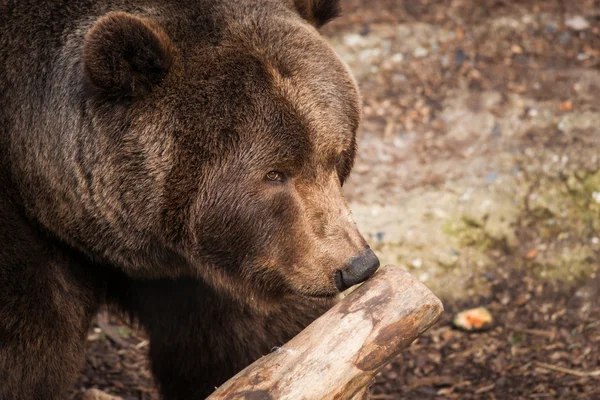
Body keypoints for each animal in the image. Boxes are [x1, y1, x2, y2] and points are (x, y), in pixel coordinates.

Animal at [0, 0, 380, 398]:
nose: (356, 265)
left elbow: (235, 338)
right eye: (275, 173)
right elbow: (29, 347)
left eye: (337, 154)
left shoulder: (228, 263)